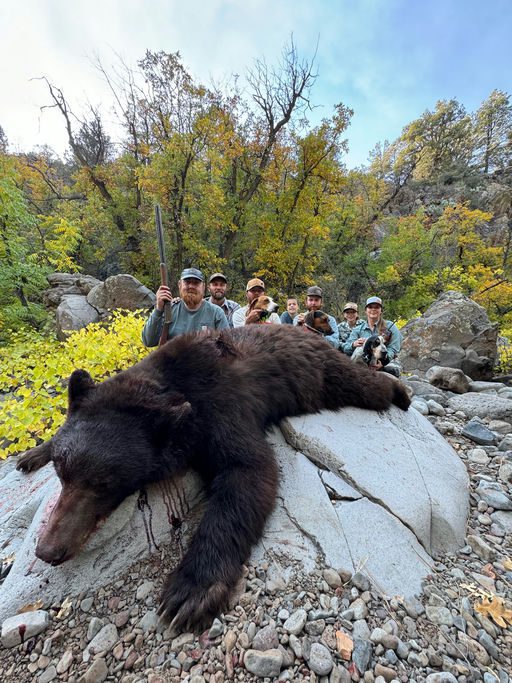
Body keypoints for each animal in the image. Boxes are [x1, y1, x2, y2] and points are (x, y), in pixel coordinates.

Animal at [17, 324, 410, 633]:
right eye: (63, 474)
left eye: (104, 485)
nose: (48, 550)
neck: (169, 386)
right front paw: (33, 453)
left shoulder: (219, 406)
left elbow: (248, 471)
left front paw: (191, 590)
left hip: (323, 373)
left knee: (363, 385)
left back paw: (401, 392)